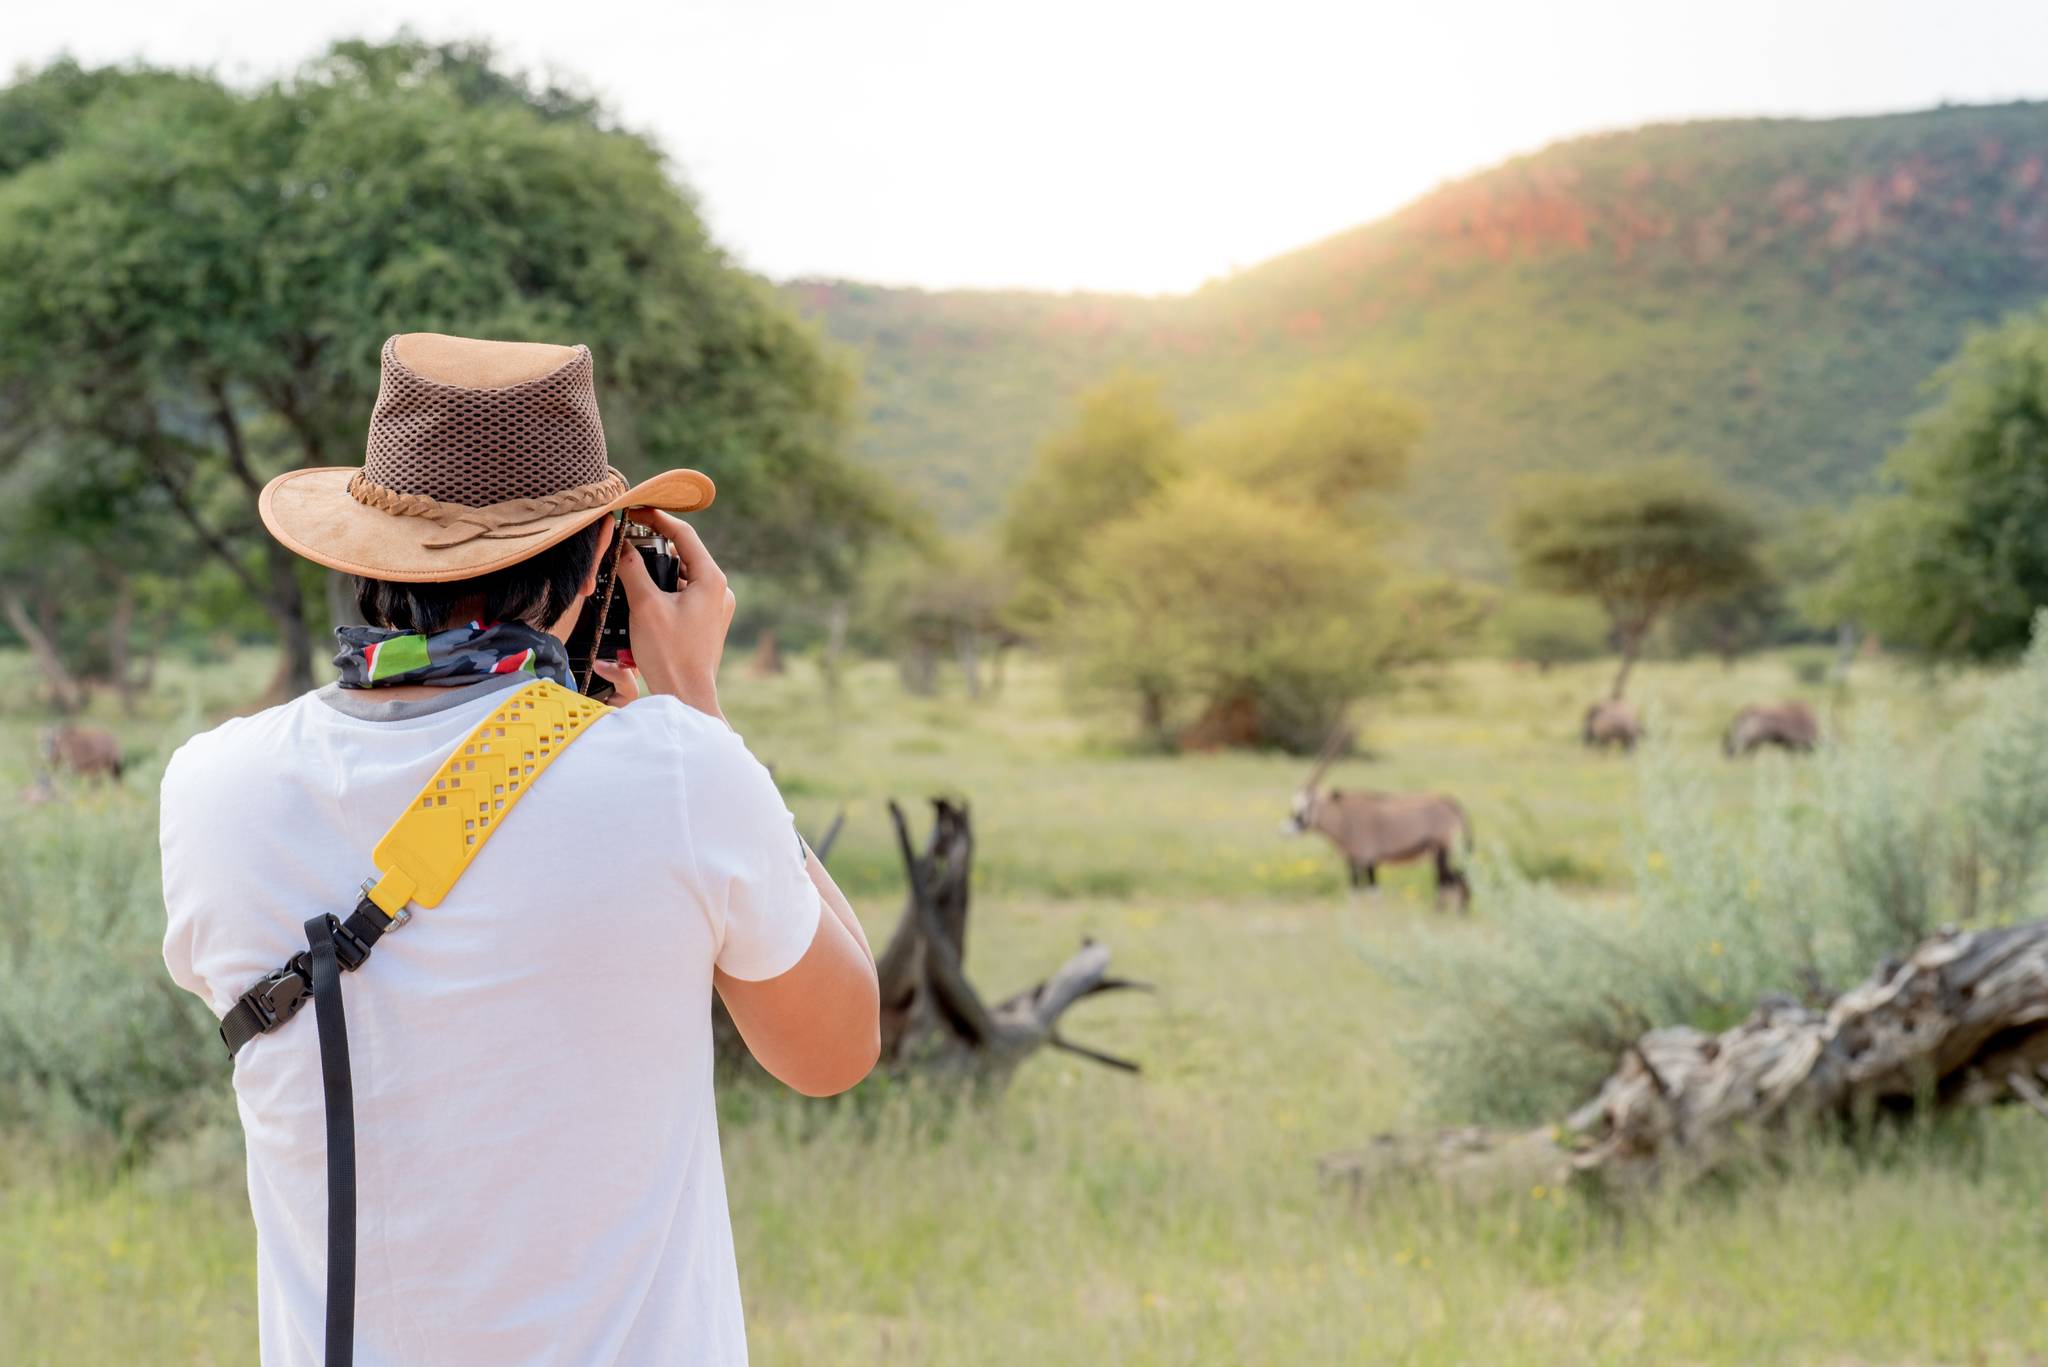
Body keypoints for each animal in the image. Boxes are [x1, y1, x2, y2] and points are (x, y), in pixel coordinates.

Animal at [1277, 733, 1474, 914]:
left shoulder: (1369, 860)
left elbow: (1372, 893)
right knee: (1453, 879)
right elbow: (1354, 892)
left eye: (1303, 807)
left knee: (1449, 881)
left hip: (1441, 851)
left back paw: (1445, 913)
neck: (1343, 816)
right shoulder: (1353, 862)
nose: (1284, 831)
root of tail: (1450, 803)